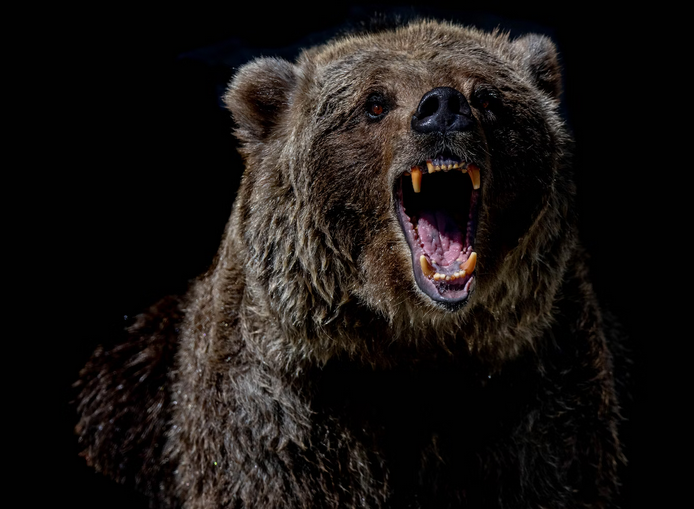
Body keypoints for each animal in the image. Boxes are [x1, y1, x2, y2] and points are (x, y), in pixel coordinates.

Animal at [75, 19, 626, 508]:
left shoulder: (536, 399)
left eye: (488, 97)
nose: (443, 107)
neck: (411, 344)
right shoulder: (282, 417)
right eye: (375, 103)